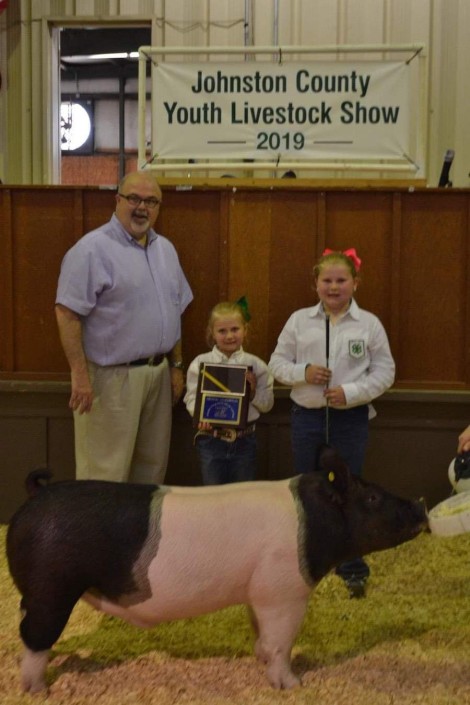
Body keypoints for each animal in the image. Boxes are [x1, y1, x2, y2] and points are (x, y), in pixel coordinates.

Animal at [6, 446, 426, 692]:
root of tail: (35, 496)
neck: (313, 522)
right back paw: (39, 690)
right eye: (372, 498)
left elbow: (262, 638)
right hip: (52, 588)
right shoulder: (283, 590)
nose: (420, 507)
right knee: (33, 635)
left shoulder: (258, 593)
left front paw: (261, 662)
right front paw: (293, 685)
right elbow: (281, 642)